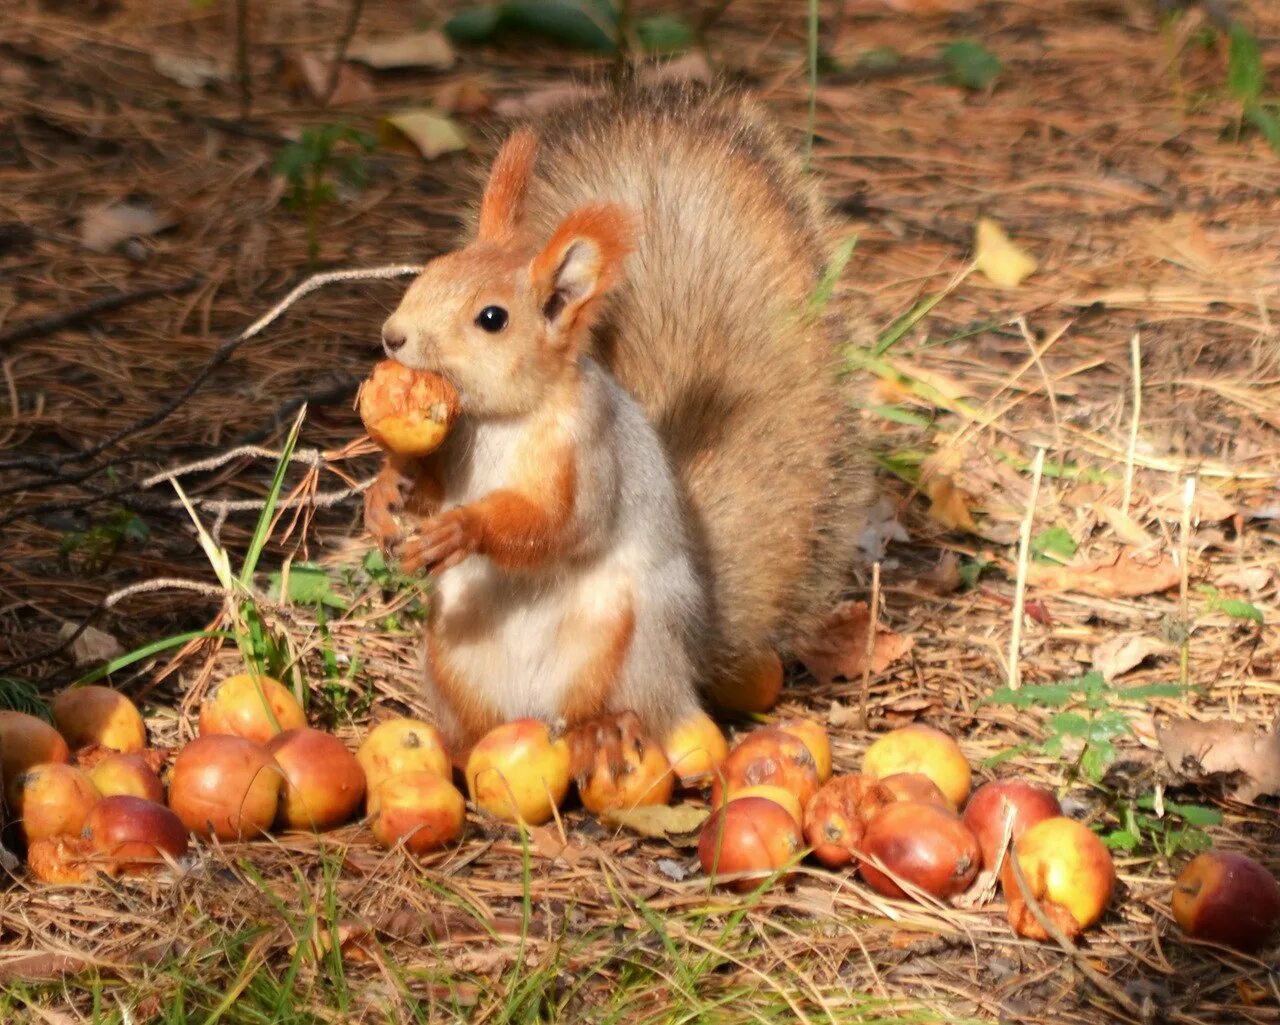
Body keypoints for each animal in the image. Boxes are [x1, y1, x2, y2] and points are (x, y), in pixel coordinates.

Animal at [366, 81, 875, 767]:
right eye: (430, 271)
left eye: (492, 318)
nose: (393, 337)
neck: (506, 418)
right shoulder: (457, 441)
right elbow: (431, 489)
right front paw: (386, 490)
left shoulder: (586, 446)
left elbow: (560, 525)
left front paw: (465, 528)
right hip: (451, 655)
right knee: (478, 726)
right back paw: (457, 748)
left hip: (621, 643)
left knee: (624, 707)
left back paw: (599, 730)